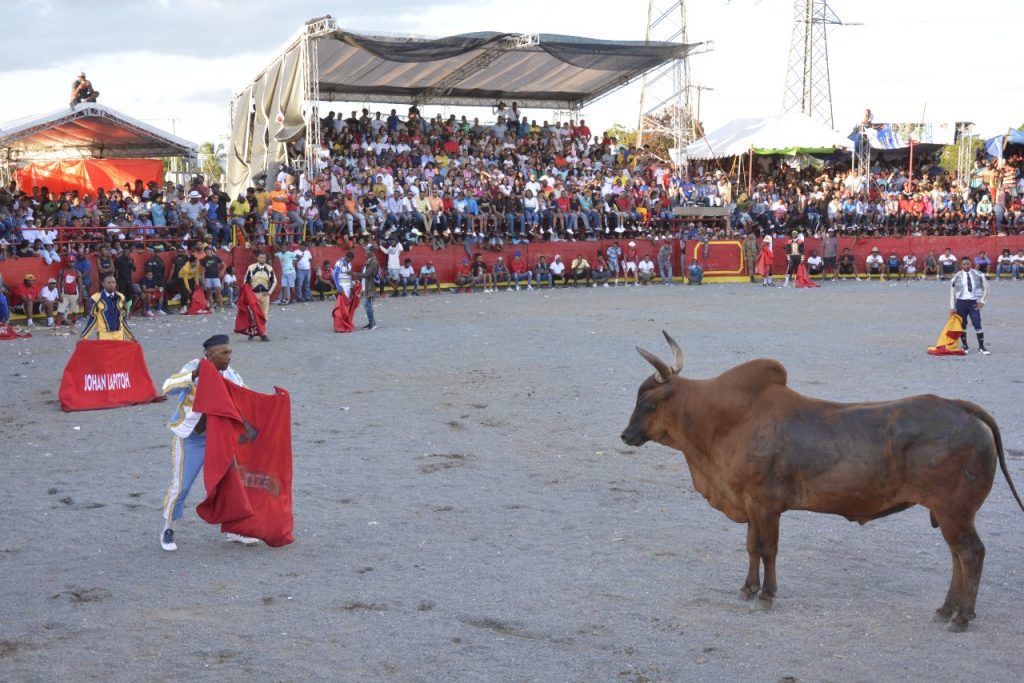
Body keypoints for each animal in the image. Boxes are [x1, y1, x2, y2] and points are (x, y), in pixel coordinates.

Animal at [618, 331, 1019, 630]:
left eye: (649, 403)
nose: (626, 435)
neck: (727, 421)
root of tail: (960, 407)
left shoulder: (765, 505)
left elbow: (767, 549)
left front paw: (767, 594)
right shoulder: (750, 504)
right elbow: (751, 548)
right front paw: (747, 589)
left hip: (955, 512)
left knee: (971, 554)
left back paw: (962, 616)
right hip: (950, 514)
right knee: (957, 557)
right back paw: (947, 609)